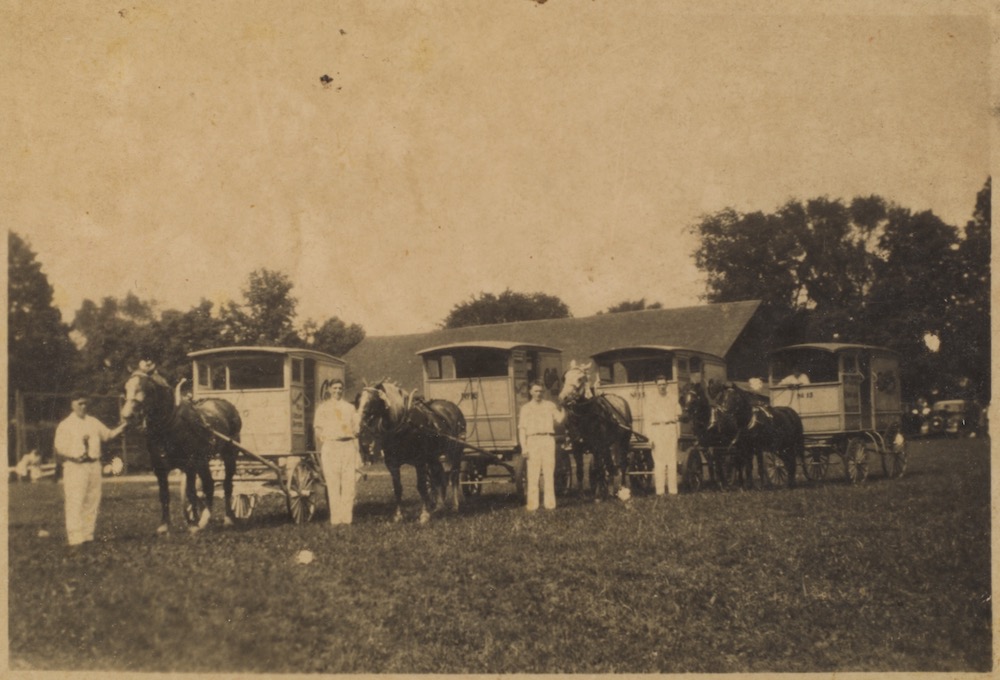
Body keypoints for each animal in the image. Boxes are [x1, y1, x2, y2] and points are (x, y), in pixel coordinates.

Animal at [121, 372, 242, 532]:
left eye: (149, 390)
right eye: (126, 388)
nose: (127, 415)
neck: (169, 428)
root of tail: (226, 405)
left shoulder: (189, 466)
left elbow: (191, 493)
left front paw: (193, 524)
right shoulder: (159, 468)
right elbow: (164, 494)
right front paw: (165, 524)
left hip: (229, 455)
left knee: (227, 485)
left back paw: (227, 518)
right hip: (203, 461)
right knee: (209, 484)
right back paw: (206, 519)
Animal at [358, 382, 466, 520]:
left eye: (373, 400)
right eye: (359, 399)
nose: (359, 422)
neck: (403, 426)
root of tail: (452, 406)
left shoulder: (419, 461)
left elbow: (421, 486)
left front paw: (424, 514)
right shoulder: (392, 464)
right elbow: (397, 488)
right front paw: (399, 515)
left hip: (455, 453)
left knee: (453, 477)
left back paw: (455, 506)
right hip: (433, 457)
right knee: (438, 477)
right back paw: (439, 506)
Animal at [560, 362, 628, 500]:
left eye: (580, 378)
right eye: (564, 378)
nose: (563, 397)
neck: (584, 416)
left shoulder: (596, 446)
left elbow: (597, 469)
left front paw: (597, 495)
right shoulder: (577, 447)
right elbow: (580, 471)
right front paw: (581, 494)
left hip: (623, 441)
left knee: (622, 465)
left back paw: (622, 488)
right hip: (608, 445)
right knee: (609, 465)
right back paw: (610, 490)